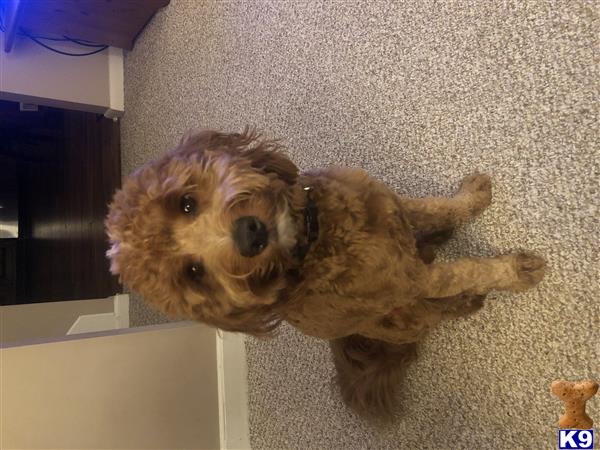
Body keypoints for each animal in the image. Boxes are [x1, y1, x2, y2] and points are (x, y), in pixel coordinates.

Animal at [105, 128, 548, 416]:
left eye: (185, 203)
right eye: (194, 271)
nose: (250, 234)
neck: (316, 236)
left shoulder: (392, 206)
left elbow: (439, 207)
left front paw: (471, 197)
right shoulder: (411, 279)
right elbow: (468, 270)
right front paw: (517, 270)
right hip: (403, 314)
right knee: (435, 310)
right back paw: (464, 301)